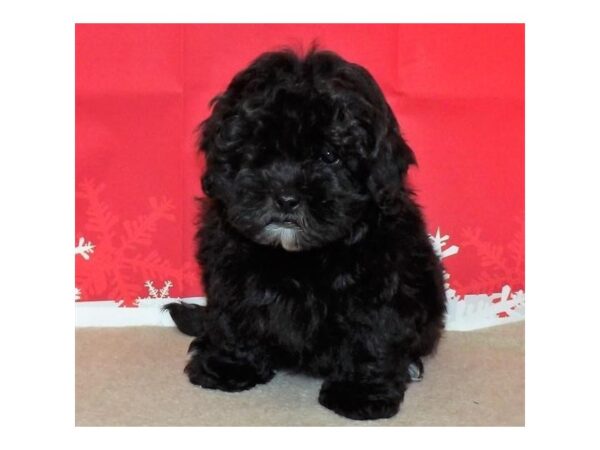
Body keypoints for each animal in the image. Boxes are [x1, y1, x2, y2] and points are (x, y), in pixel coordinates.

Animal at [166, 49, 448, 422]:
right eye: (261, 150)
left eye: (330, 155)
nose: (286, 198)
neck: (300, 256)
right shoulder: (230, 264)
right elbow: (233, 314)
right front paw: (230, 365)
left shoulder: (381, 276)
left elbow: (372, 330)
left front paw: (361, 392)